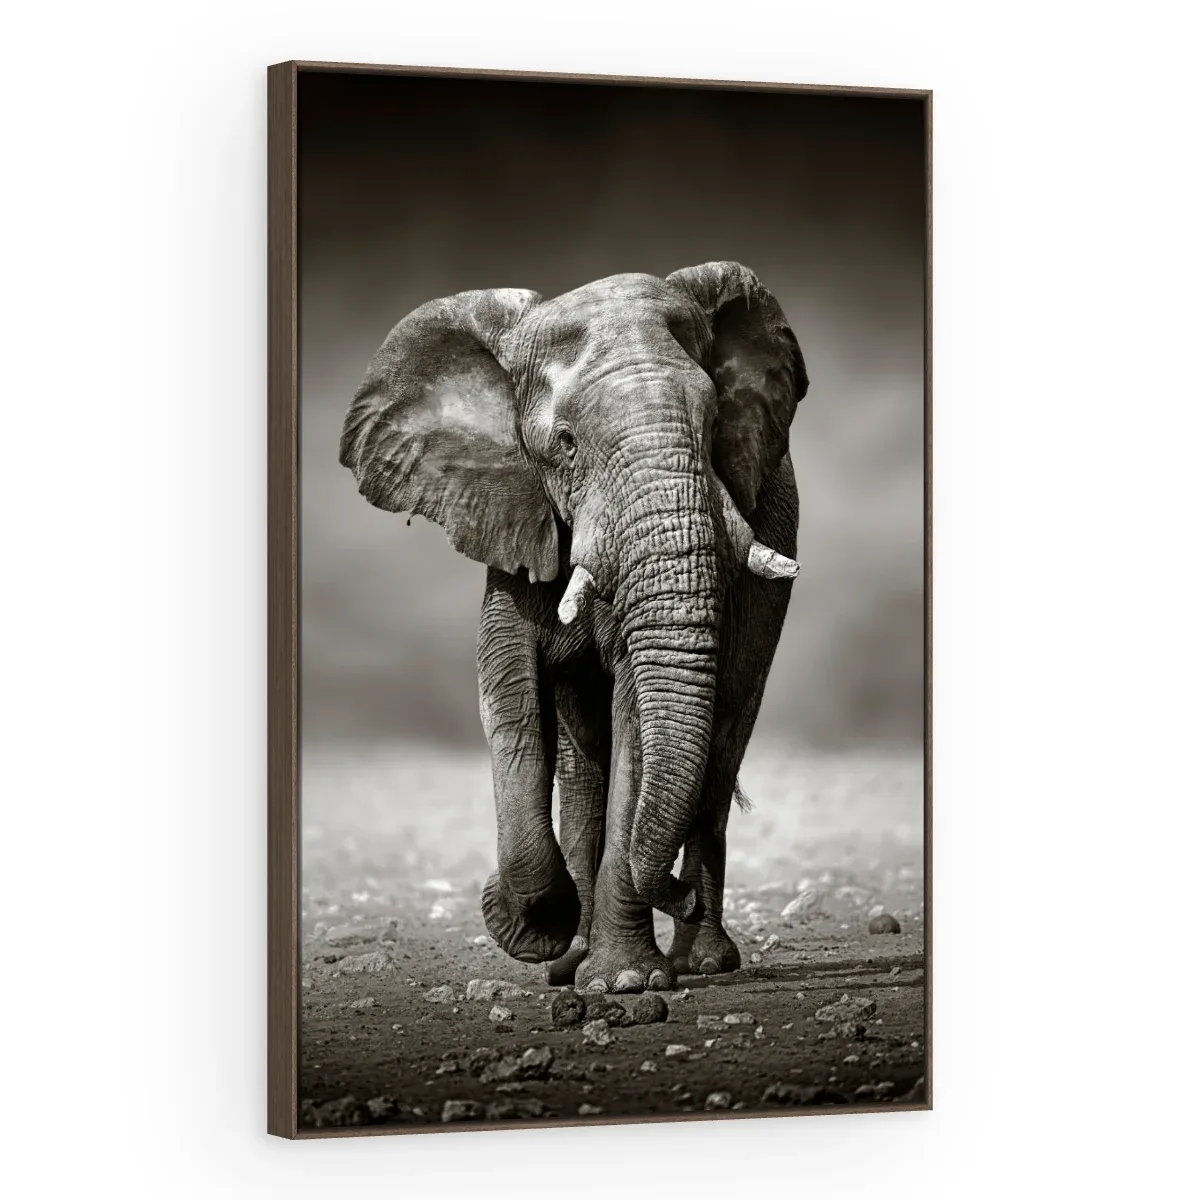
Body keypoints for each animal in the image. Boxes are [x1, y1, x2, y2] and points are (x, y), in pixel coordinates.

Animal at [339, 262, 807, 994]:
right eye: (564, 445)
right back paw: (572, 958)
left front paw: (625, 983)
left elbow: (637, 716)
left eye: (712, 430)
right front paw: (534, 932)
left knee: (722, 739)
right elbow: (510, 698)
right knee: (584, 761)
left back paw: (701, 961)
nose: (676, 895)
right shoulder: (511, 516)